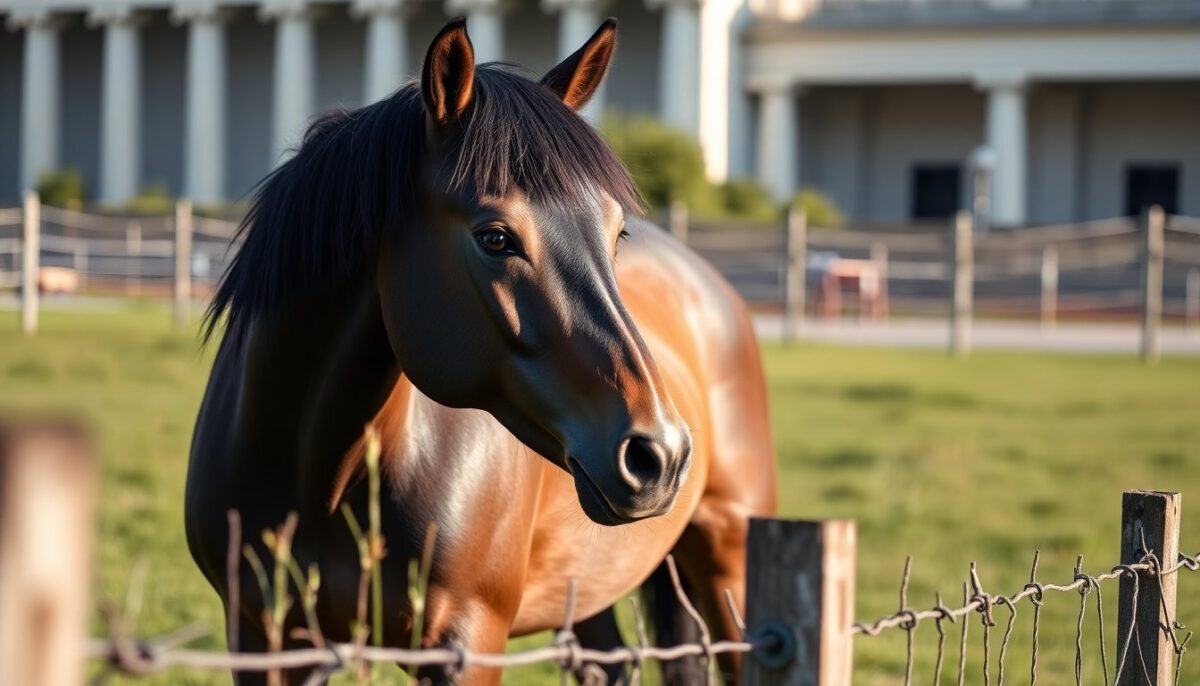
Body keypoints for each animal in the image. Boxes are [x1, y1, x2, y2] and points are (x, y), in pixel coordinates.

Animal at [185, 18, 776, 685]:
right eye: (495, 237)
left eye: (616, 232)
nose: (661, 454)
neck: (318, 481)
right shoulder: (265, 639)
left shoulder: (466, 643)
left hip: (729, 561)